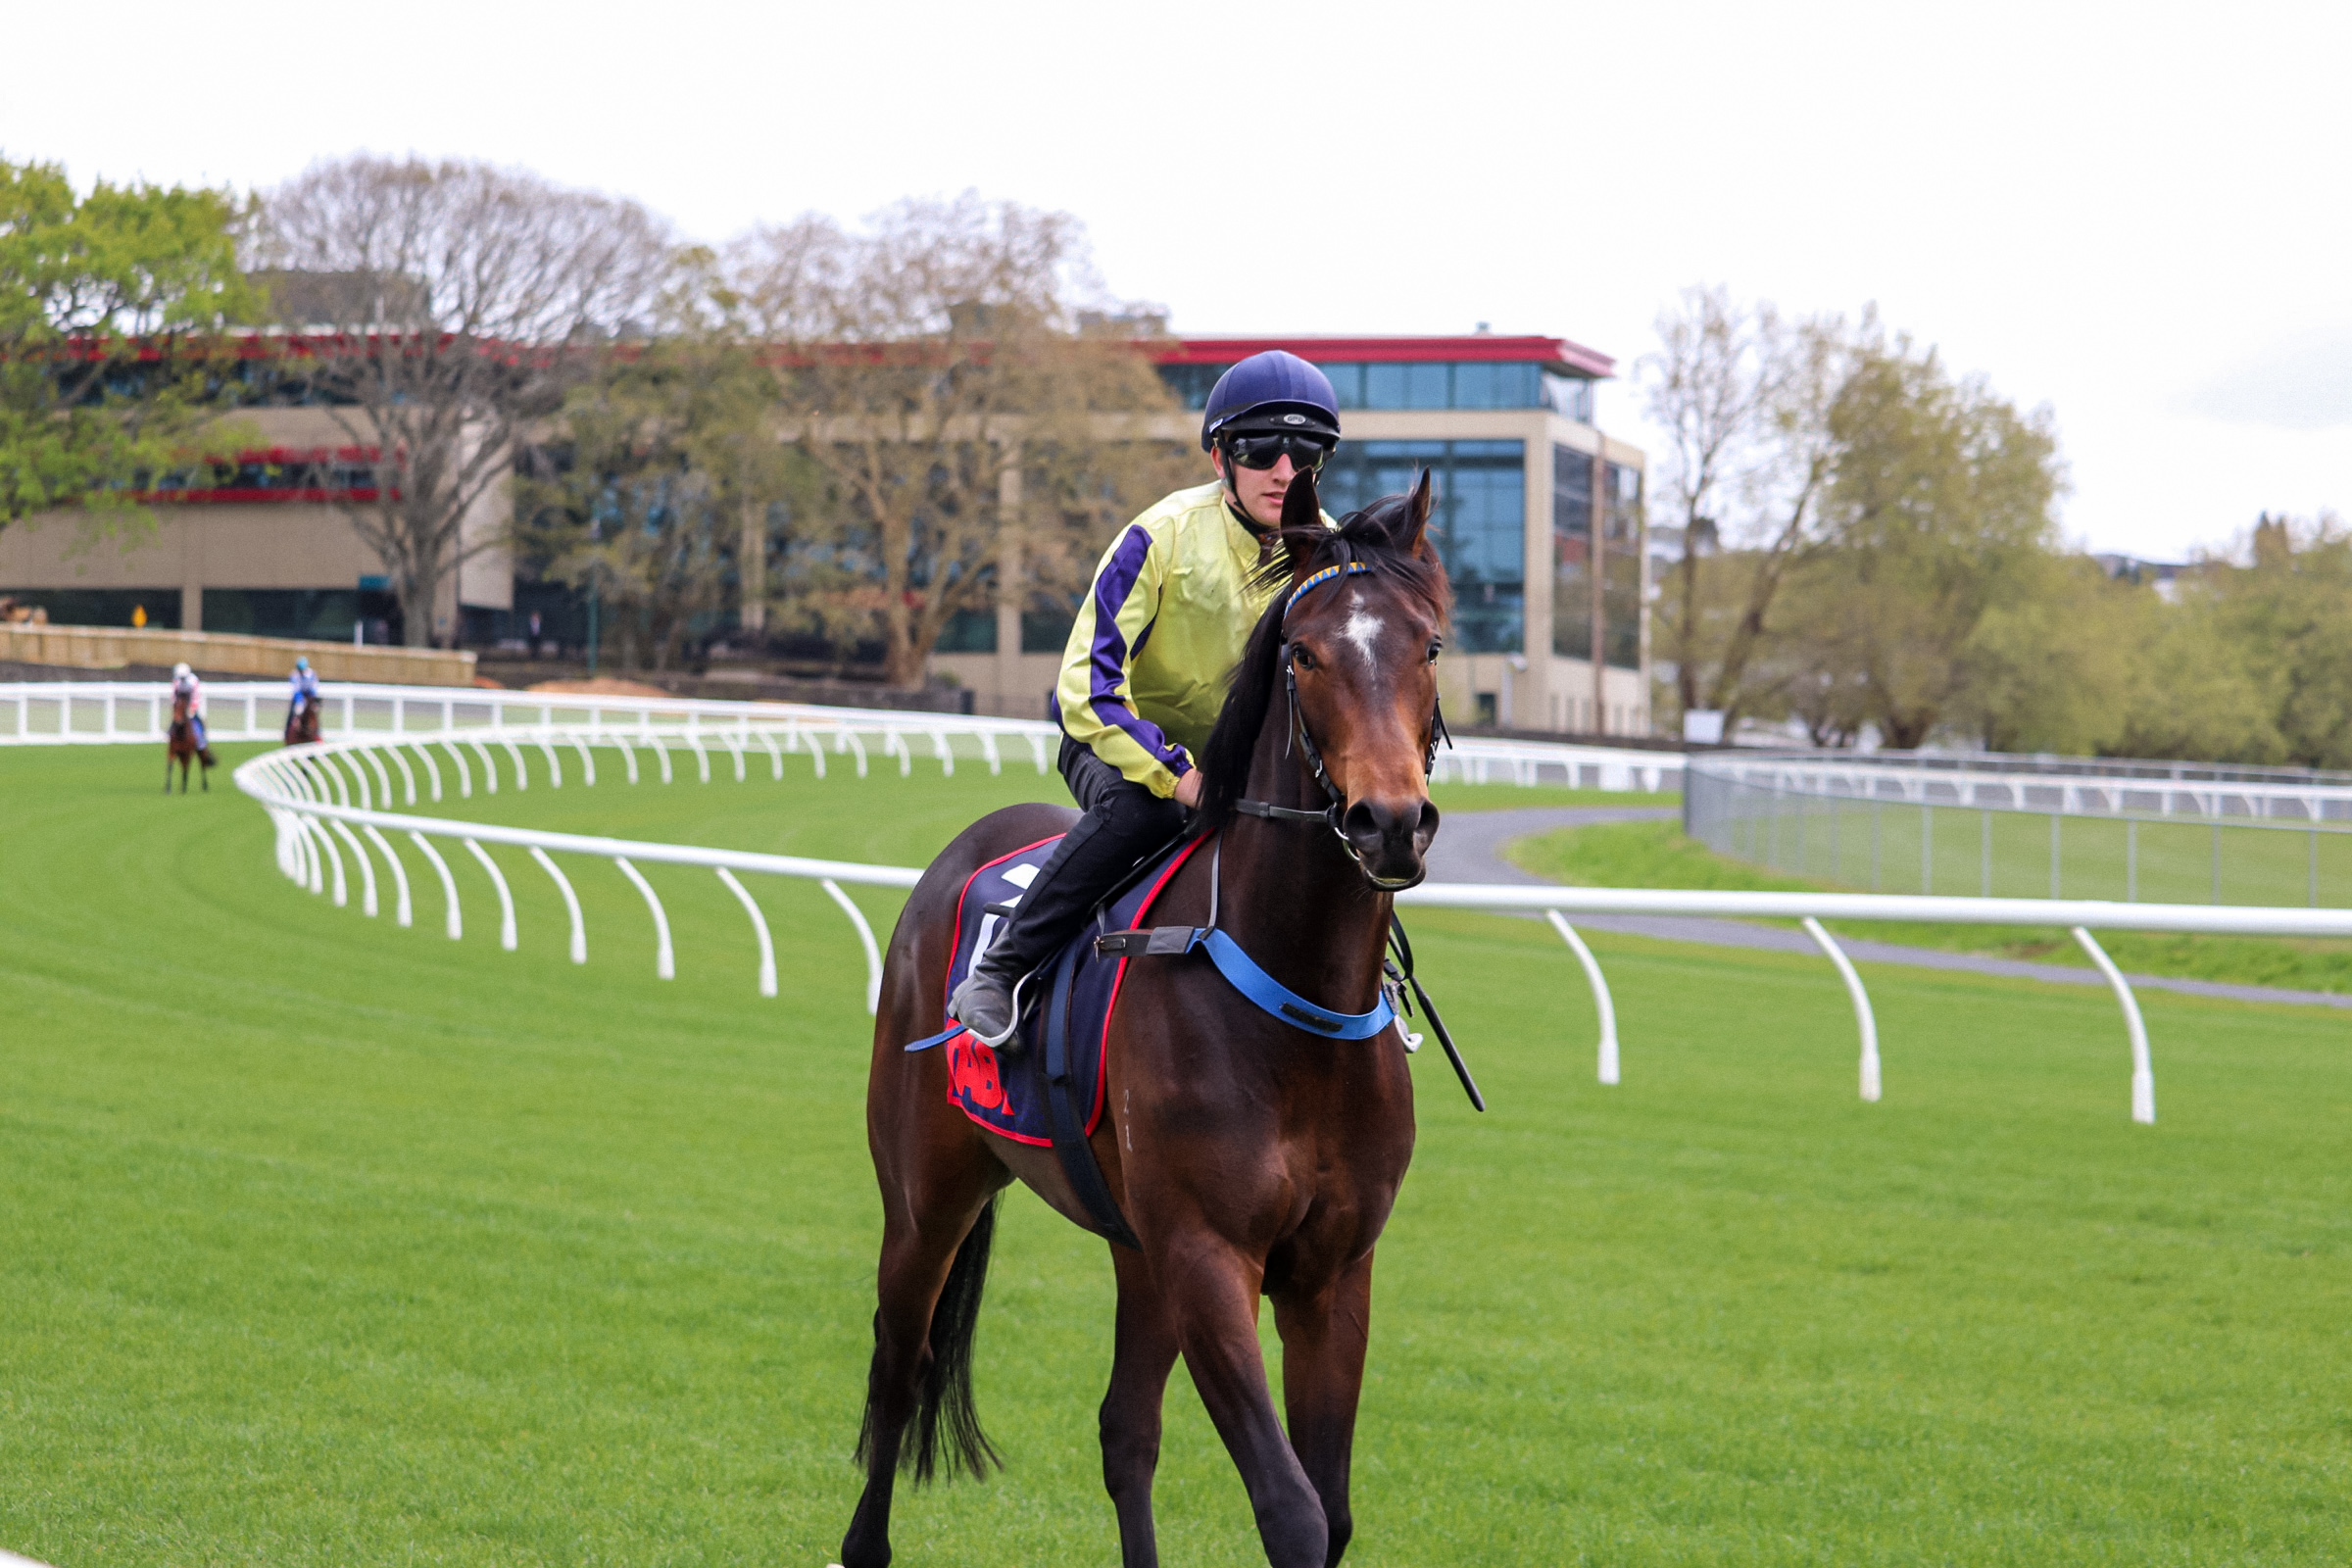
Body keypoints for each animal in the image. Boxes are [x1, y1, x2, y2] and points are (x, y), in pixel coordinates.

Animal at [847, 469, 1448, 1568]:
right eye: (1305, 652)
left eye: (1426, 645)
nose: (1390, 822)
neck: (1294, 999)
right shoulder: (1209, 1256)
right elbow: (1293, 1509)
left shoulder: (1331, 1273)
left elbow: (1332, 1509)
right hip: (924, 1197)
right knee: (897, 1371)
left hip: (1138, 1247)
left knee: (1124, 1431)